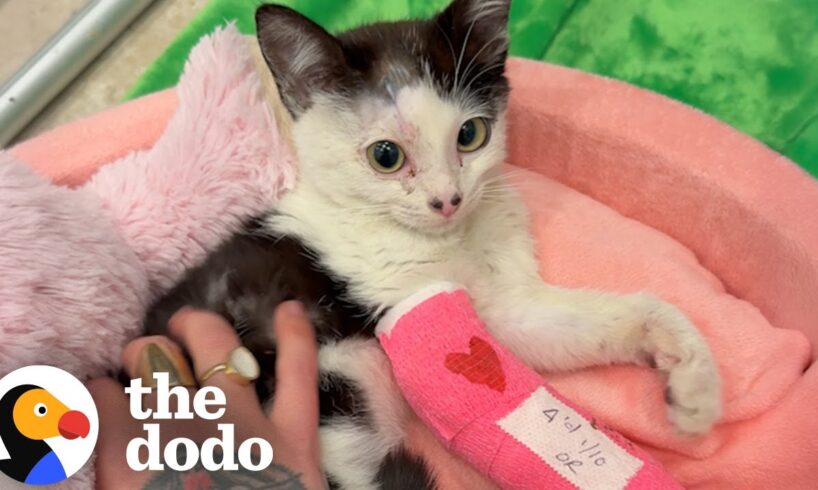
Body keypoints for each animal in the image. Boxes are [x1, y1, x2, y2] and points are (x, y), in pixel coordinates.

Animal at [143, 1, 716, 488]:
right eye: (386, 156)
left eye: (470, 135)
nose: (448, 200)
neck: (450, 239)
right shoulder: (398, 300)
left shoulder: (504, 304)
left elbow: (557, 324)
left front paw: (692, 376)